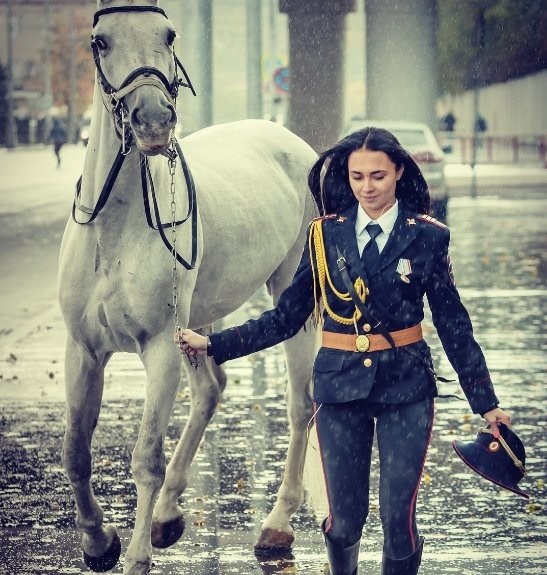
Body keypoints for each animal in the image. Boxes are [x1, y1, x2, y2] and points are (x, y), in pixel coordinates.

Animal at [58, 1, 318, 575]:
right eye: (100, 41)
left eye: (169, 34)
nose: (154, 120)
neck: (116, 226)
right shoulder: (83, 349)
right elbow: (76, 452)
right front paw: (98, 541)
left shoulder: (158, 347)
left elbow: (145, 458)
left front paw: (134, 556)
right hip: (196, 321)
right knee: (210, 390)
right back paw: (168, 515)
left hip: (293, 300)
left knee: (300, 405)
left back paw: (276, 525)